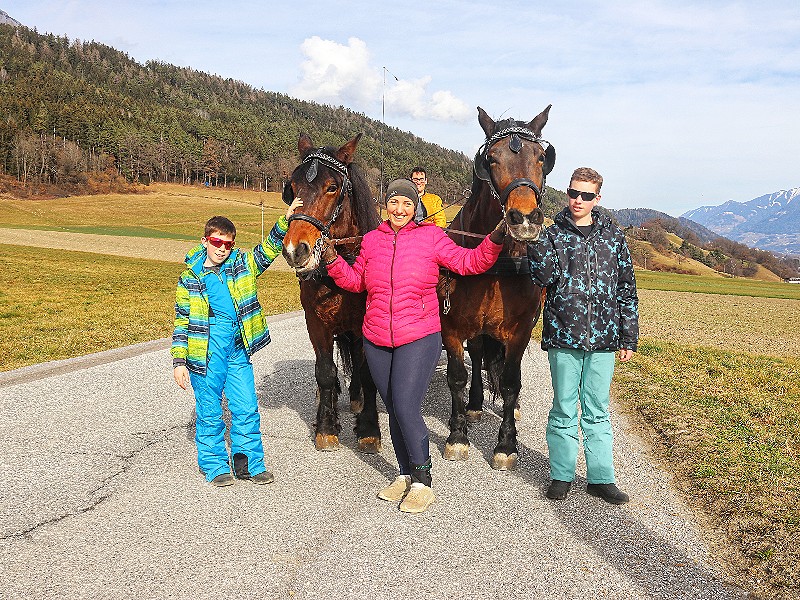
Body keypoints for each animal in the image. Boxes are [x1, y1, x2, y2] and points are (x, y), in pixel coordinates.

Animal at [281, 133, 382, 453]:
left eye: (332, 187)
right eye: (291, 188)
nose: (294, 250)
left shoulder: (365, 325)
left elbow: (367, 372)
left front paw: (369, 429)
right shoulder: (316, 321)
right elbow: (325, 371)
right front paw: (326, 426)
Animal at [439, 105, 555, 470]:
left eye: (541, 157)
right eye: (491, 159)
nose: (525, 219)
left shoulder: (520, 330)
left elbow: (509, 381)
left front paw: (506, 443)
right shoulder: (451, 325)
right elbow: (457, 376)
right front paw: (457, 435)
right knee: (477, 357)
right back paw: (475, 405)